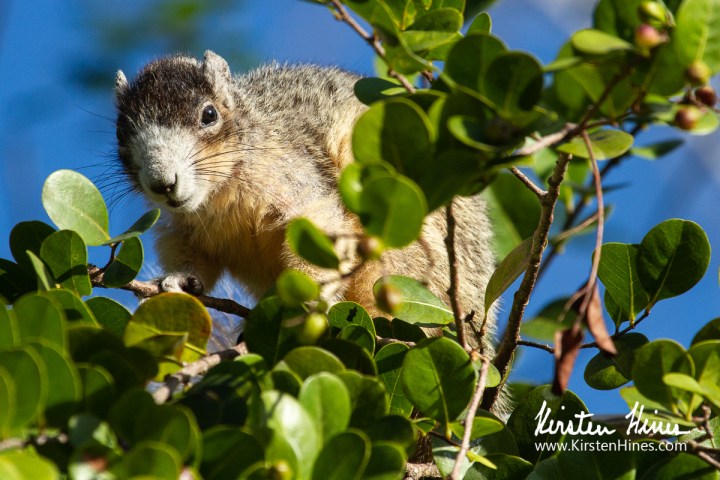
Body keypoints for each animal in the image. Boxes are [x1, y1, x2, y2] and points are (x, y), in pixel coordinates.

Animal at [113, 50, 496, 355]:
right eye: (121, 133)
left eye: (209, 114)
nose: (163, 183)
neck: (219, 196)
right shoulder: (183, 228)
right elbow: (194, 256)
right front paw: (180, 280)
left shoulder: (298, 184)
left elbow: (320, 228)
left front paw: (308, 299)